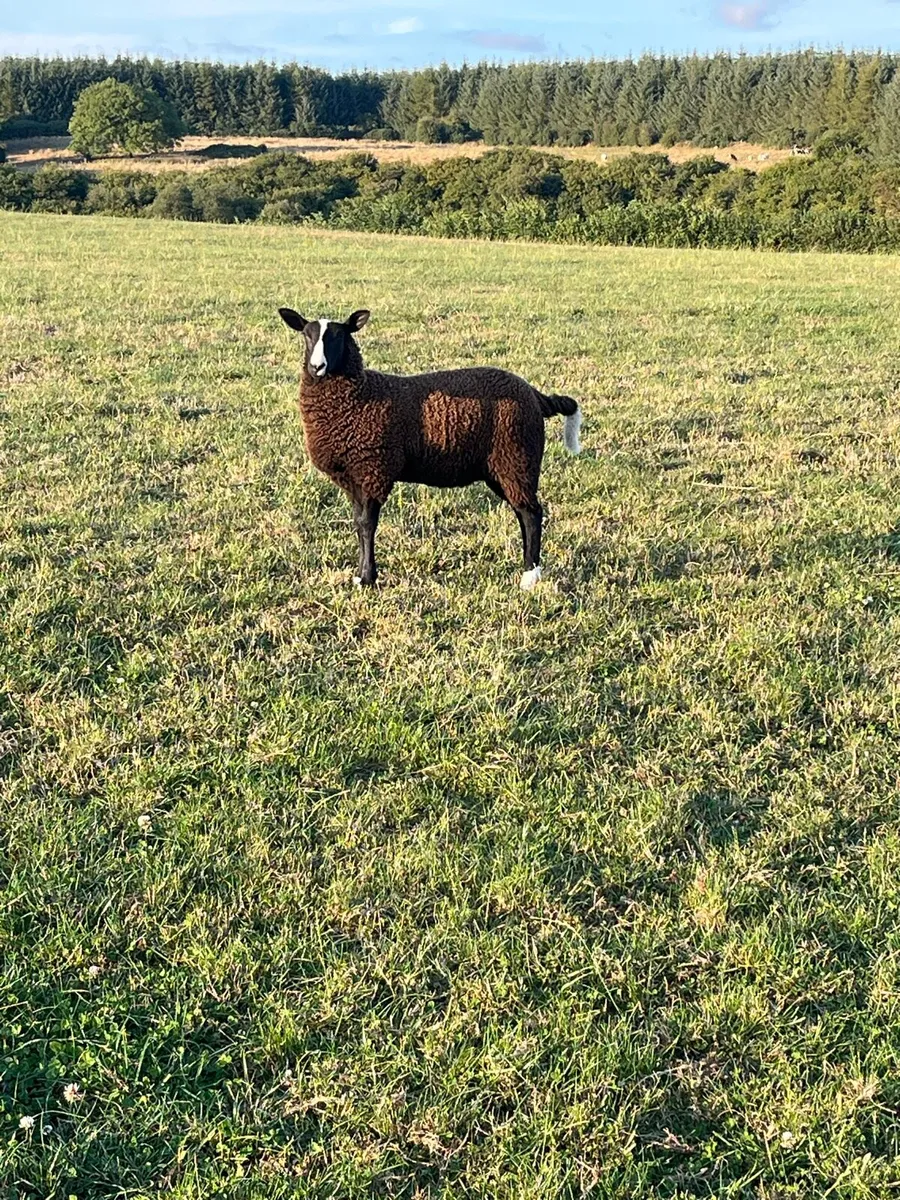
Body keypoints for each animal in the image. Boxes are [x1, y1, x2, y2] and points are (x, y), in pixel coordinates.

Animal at [278, 306, 582, 590]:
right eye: (306, 335)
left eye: (339, 336)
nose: (317, 367)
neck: (361, 396)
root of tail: (534, 394)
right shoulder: (354, 477)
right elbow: (358, 523)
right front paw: (361, 574)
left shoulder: (374, 469)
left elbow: (367, 525)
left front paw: (367, 578)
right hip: (505, 468)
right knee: (522, 511)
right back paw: (527, 566)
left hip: (517, 457)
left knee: (532, 514)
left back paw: (530, 576)